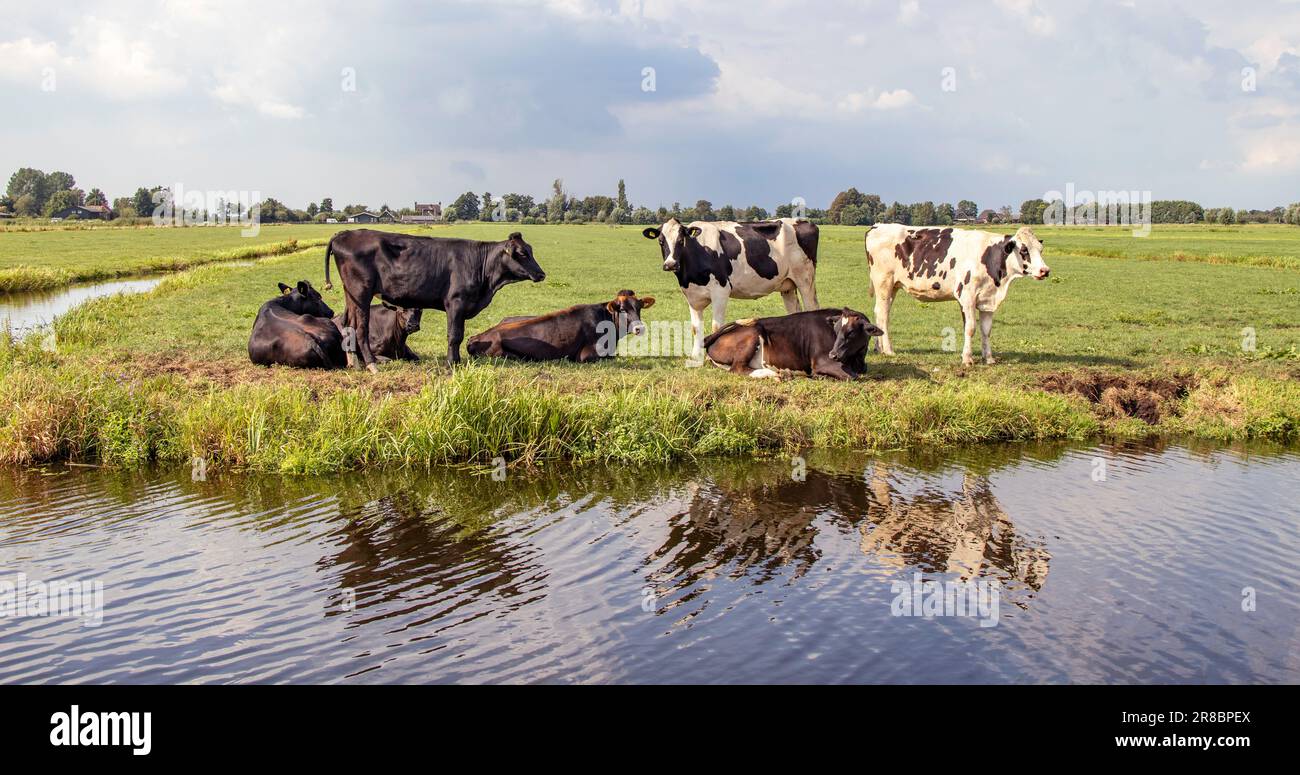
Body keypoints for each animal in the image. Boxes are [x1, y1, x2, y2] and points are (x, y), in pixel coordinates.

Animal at [330, 228, 548, 371]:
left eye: (530, 250)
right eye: (522, 253)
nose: (541, 274)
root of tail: (344, 234)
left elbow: (458, 335)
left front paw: (456, 361)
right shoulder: (455, 302)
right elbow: (455, 335)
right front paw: (452, 363)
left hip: (351, 296)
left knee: (348, 323)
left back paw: (354, 364)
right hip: (361, 293)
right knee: (360, 328)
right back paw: (371, 364)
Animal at [642, 218, 816, 364]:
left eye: (680, 240)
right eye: (661, 241)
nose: (670, 264)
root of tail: (803, 221)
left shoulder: (721, 291)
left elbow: (716, 326)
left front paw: (711, 357)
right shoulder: (692, 296)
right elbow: (695, 327)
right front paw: (695, 357)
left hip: (805, 279)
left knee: (811, 307)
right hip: (788, 286)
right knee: (794, 312)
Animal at [702, 308, 883, 382]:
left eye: (851, 332)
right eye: (836, 330)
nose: (833, 354)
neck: (856, 360)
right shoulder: (823, 362)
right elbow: (852, 376)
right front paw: (819, 376)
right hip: (752, 333)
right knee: (737, 369)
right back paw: (774, 374)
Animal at [868, 223, 1050, 366]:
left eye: (1040, 250)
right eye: (1024, 250)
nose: (1045, 270)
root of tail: (878, 226)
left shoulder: (987, 299)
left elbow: (986, 330)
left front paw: (989, 358)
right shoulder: (967, 296)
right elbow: (970, 328)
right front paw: (967, 359)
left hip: (892, 287)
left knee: (879, 312)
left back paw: (879, 348)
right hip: (884, 283)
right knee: (883, 315)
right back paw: (888, 350)